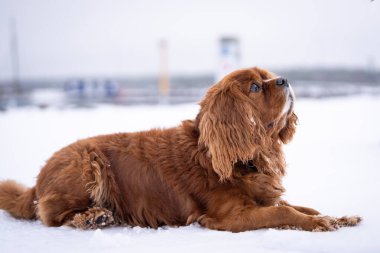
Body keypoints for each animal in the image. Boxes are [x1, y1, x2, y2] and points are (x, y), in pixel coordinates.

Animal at [0, 67, 362, 231]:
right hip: (88, 161)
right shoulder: (230, 216)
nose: (285, 79)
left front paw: (337, 216)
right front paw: (322, 223)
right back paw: (94, 216)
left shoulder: (263, 198)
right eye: (255, 87)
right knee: (53, 217)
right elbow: (284, 212)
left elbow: (304, 206)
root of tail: (36, 181)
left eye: (270, 76)